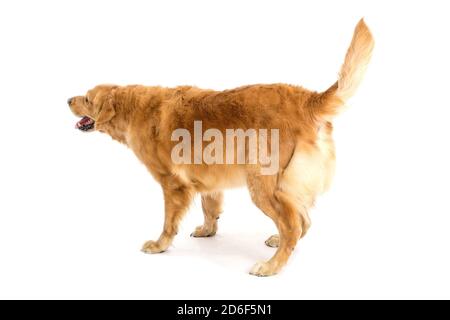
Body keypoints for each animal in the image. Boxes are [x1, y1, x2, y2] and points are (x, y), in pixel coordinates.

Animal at [68, 19, 374, 276]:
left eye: (87, 98)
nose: (68, 99)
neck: (134, 108)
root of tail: (307, 99)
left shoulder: (172, 184)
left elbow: (168, 222)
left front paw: (159, 245)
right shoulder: (207, 178)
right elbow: (209, 207)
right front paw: (207, 230)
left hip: (263, 185)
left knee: (293, 224)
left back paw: (271, 266)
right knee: (302, 221)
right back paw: (278, 242)